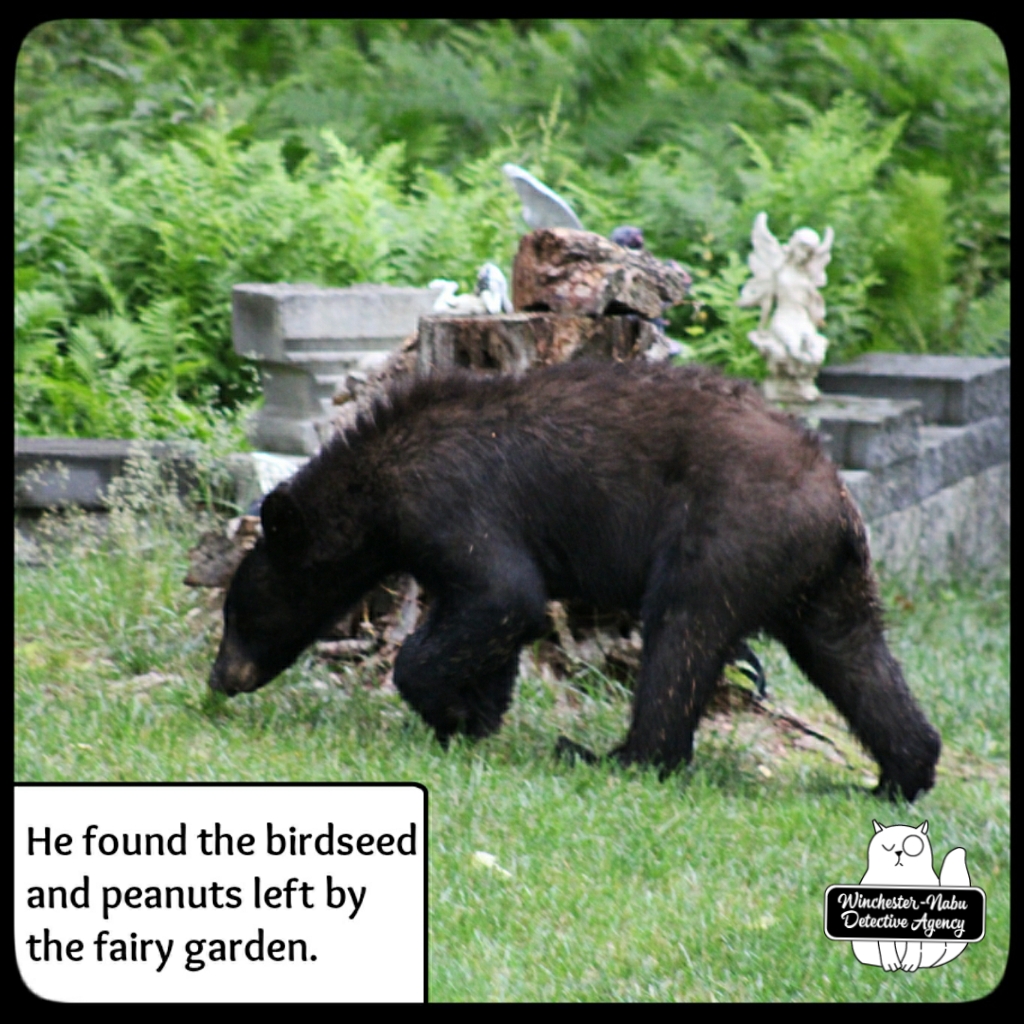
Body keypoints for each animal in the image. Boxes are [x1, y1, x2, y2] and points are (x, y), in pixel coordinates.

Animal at [210, 359, 941, 801]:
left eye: (237, 613)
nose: (221, 678)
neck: (376, 486)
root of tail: (836, 500)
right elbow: (488, 618)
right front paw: (475, 715)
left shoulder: (452, 500)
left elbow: (505, 595)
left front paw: (447, 709)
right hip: (822, 578)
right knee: (854, 656)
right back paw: (901, 772)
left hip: (728, 534)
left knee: (682, 638)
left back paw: (615, 755)